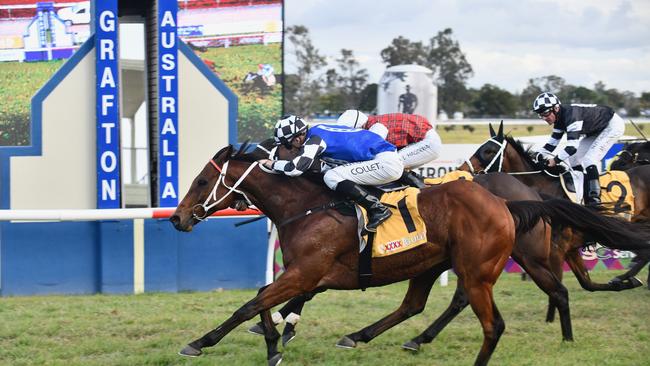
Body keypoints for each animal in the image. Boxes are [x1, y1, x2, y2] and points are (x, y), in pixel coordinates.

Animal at [170, 144, 648, 366]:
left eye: (200, 181)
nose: (177, 218)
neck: (306, 206)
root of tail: (507, 203)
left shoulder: (306, 272)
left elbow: (251, 303)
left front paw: (201, 342)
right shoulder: (309, 276)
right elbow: (263, 300)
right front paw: (274, 342)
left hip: (479, 268)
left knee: (499, 315)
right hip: (432, 263)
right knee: (415, 305)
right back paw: (370, 336)